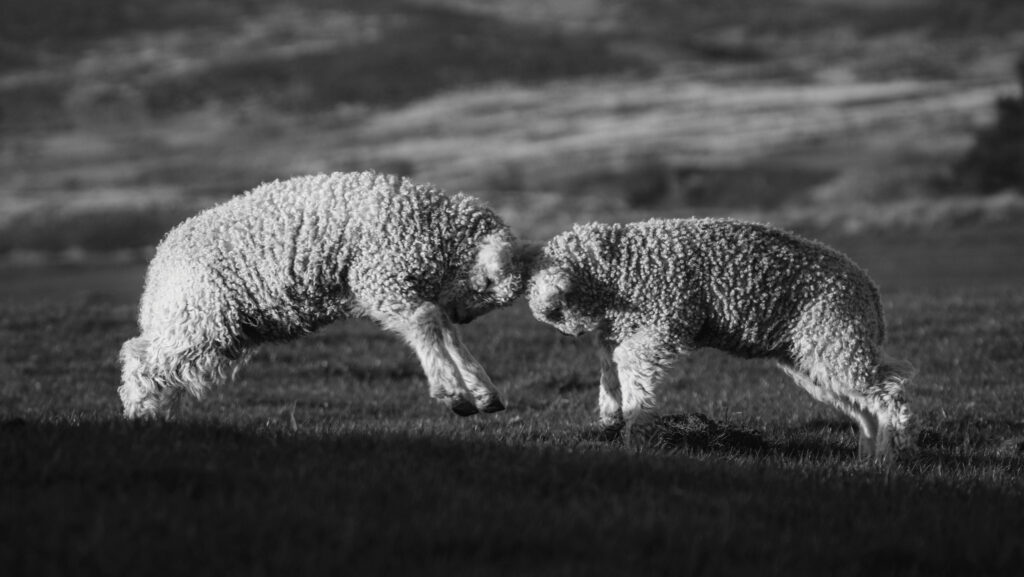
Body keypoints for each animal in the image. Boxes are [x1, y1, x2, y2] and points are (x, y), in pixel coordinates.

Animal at [117, 171, 528, 420]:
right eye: (486, 285)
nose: (465, 316)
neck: (428, 227)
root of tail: (159, 264)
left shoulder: (399, 285)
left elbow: (443, 328)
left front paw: (482, 392)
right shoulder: (380, 278)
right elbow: (428, 320)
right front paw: (453, 392)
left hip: (214, 325)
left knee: (161, 365)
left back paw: (158, 414)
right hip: (201, 314)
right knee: (142, 357)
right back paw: (141, 415)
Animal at [528, 219, 913, 463]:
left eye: (556, 312)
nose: (569, 332)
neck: (622, 268)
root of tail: (869, 289)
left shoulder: (668, 321)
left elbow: (628, 362)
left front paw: (635, 431)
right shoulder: (624, 327)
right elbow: (610, 364)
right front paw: (610, 417)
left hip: (836, 336)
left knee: (888, 393)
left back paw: (888, 454)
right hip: (815, 355)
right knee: (861, 404)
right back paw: (868, 458)